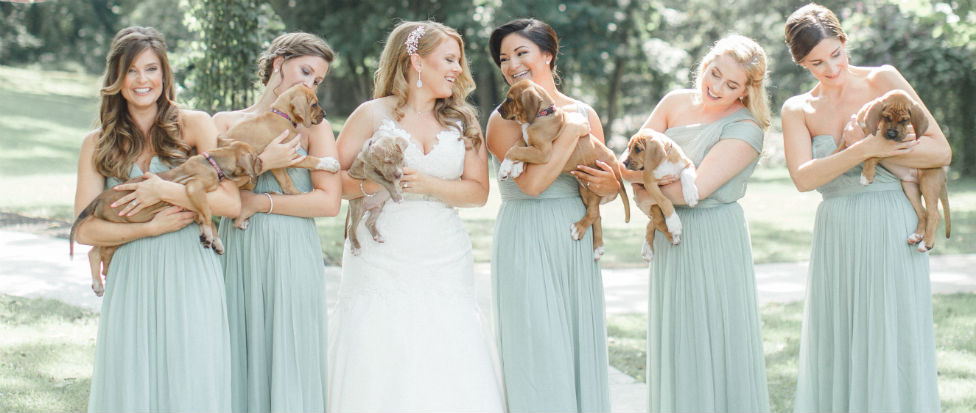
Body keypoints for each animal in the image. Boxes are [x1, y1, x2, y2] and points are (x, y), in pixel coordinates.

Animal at [69, 140, 264, 294]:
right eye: (255, 157)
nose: (262, 162)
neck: (213, 162)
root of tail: (98, 199)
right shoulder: (194, 187)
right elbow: (208, 214)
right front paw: (209, 235)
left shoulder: (191, 202)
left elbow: (203, 215)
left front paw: (214, 239)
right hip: (120, 227)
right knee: (97, 253)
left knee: (94, 252)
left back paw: (98, 283)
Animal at [496, 78, 632, 258]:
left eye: (510, 99)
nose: (498, 110)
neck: (542, 114)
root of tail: (616, 168)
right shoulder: (530, 143)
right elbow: (518, 145)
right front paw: (516, 166)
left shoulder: (544, 152)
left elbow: (515, 150)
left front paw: (505, 168)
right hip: (585, 190)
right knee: (596, 215)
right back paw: (597, 247)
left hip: (593, 187)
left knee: (594, 213)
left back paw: (579, 229)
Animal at [620, 129, 696, 260]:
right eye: (629, 148)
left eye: (638, 149)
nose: (624, 163)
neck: (664, 162)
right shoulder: (649, 182)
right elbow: (664, 201)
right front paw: (674, 223)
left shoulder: (688, 165)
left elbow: (686, 175)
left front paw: (691, 195)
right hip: (654, 209)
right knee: (657, 223)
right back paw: (672, 236)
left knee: (651, 223)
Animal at [844, 89, 948, 251]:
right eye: (886, 117)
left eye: (905, 120)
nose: (892, 134)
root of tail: (944, 173)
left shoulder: (890, 149)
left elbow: (872, 155)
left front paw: (866, 175)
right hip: (910, 187)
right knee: (923, 212)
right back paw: (916, 235)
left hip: (928, 182)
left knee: (934, 214)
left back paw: (926, 243)